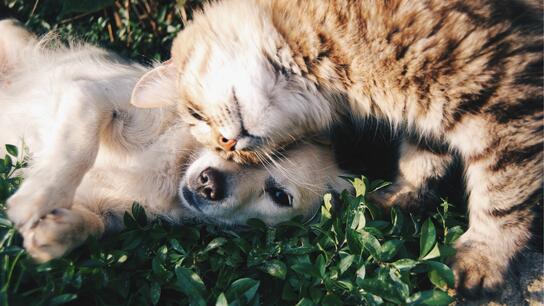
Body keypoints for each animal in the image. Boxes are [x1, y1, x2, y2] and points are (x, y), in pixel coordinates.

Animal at [132, 0, 544, 298]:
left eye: (196, 114)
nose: (228, 143)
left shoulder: (504, 97)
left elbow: (502, 196)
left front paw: (483, 259)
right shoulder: (432, 113)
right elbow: (421, 161)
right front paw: (396, 199)